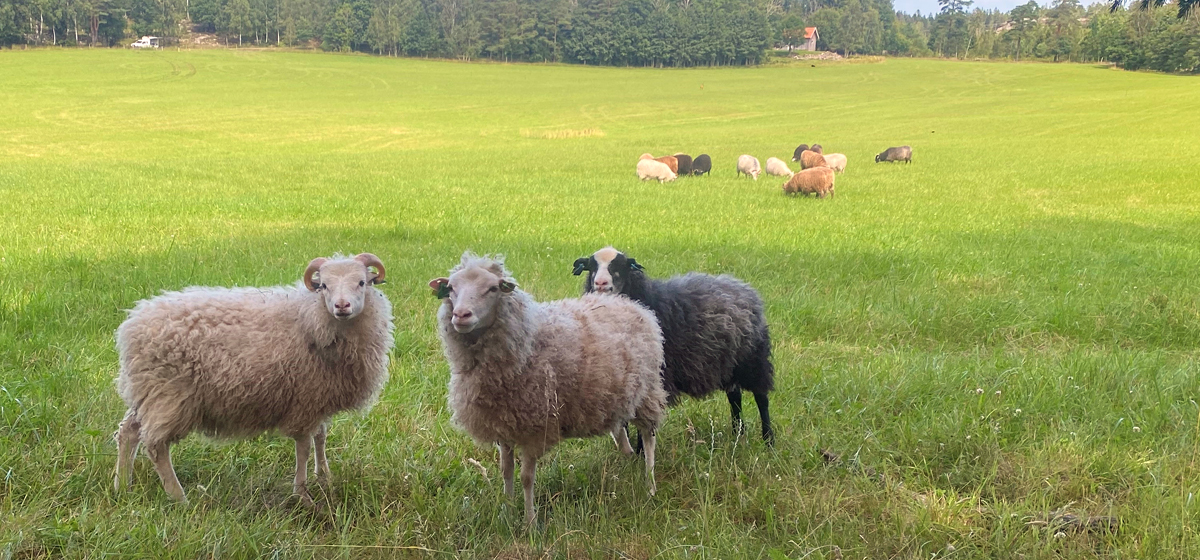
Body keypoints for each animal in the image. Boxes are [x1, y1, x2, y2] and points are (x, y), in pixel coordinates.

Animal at [113, 253, 394, 505]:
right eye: (324, 285)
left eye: (362, 282)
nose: (342, 306)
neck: (310, 316)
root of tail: (131, 325)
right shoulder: (304, 400)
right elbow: (303, 447)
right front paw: (303, 495)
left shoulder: (318, 395)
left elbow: (321, 437)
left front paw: (325, 477)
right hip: (170, 394)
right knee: (156, 446)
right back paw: (178, 497)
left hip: (148, 391)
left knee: (128, 432)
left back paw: (123, 486)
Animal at [431, 253, 667, 526]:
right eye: (451, 289)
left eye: (492, 289)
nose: (461, 315)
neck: (527, 341)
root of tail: (631, 304)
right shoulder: (504, 423)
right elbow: (506, 471)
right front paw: (507, 511)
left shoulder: (536, 427)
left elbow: (526, 478)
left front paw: (530, 522)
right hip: (617, 394)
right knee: (620, 428)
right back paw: (628, 457)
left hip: (648, 391)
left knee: (649, 438)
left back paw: (650, 484)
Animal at [571, 247, 775, 447]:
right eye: (591, 266)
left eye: (620, 266)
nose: (601, 283)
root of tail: (741, 286)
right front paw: (627, 450)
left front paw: (640, 450)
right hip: (728, 364)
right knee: (735, 397)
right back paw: (738, 433)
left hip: (753, 358)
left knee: (761, 398)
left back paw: (768, 440)